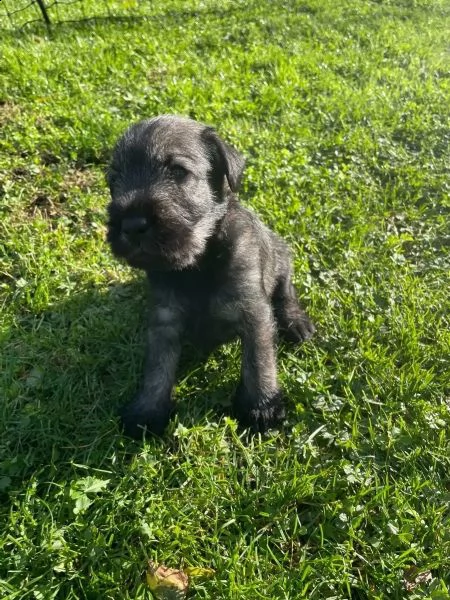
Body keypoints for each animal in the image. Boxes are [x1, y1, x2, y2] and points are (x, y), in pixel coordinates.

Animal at [107, 116, 314, 436]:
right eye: (113, 181)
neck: (197, 266)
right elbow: (157, 367)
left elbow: (259, 360)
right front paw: (147, 410)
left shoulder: (253, 312)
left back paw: (297, 323)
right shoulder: (165, 320)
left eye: (178, 171)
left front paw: (262, 406)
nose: (131, 225)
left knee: (286, 292)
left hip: (281, 259)